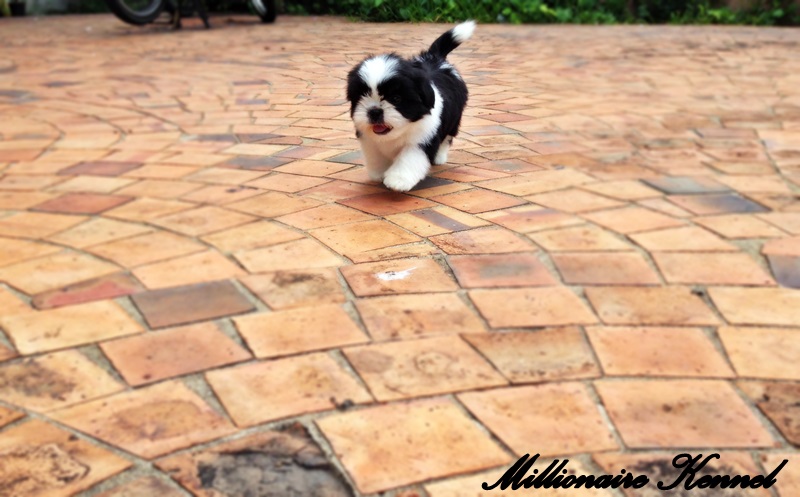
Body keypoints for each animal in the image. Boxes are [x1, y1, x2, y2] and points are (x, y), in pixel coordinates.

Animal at [346, 20, 475, 192]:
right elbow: (376, 156)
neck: (398, 133)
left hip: (454, 119)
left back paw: (439, 157)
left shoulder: (423, 137)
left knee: (447, 137)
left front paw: (398, 180)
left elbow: (409, 158)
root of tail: (435, 59)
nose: (374, 111)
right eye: (362, 96)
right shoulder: (369, 140)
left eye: (396, 98)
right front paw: (379, 173)